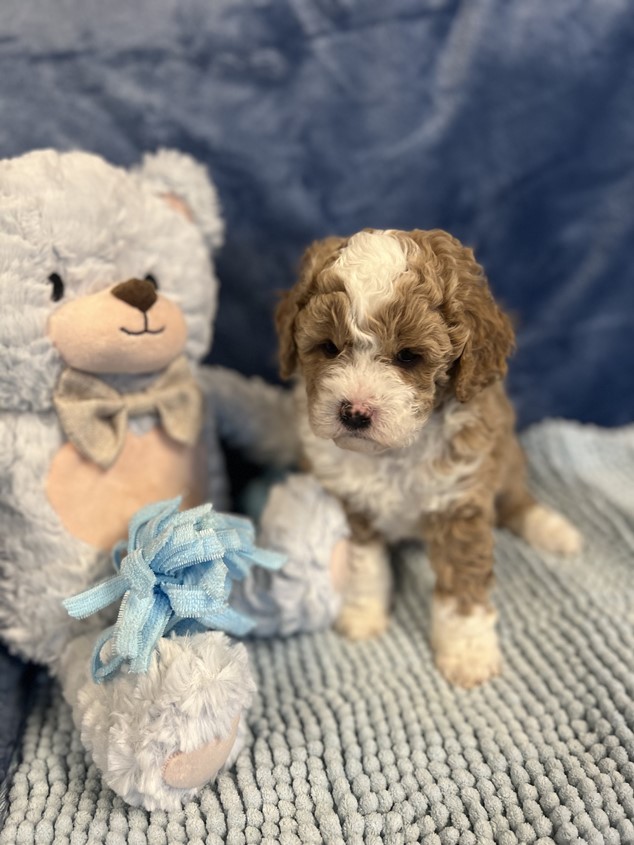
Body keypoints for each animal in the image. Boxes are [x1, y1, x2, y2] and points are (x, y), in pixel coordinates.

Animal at [274, 229, 580, 684]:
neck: (395, 452)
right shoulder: (352, 503)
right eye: (328, 348)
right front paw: (362, 615)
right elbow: (364, 565)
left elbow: (463, 588)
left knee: (515, 499)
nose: (354, 412)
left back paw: (554, 530)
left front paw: (468, 652)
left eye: (408, 356)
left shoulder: (460, 503)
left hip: (505, 457)